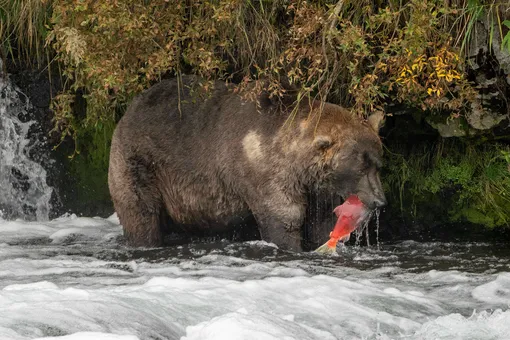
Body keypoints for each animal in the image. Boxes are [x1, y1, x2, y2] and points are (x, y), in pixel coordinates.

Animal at [108, 75, 386, 251]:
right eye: (361, 166)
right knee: (141, 213)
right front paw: (291, 245)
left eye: (377, 164)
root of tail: (129, 109)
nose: (380, 200)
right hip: (141, 163)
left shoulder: (317, 187)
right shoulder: (265, 172)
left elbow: (321, 222)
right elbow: (284, 219)